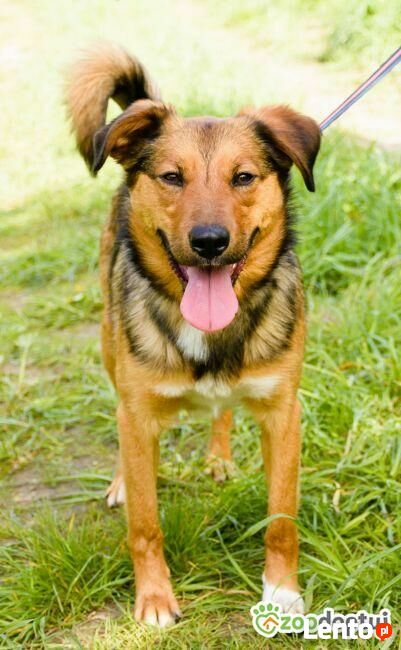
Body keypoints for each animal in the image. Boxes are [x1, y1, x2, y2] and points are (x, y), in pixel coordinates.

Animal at [66, 43, 320, 627]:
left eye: (244, 177)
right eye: (171, 177)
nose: (209, 242)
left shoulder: (284, 413)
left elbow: (281, 519)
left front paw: (281, 593)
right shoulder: (138, 415)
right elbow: (145, 525)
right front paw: (155, 598)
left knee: (221, 410)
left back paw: (218, 458)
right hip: (109, 344)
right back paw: (121, 480)